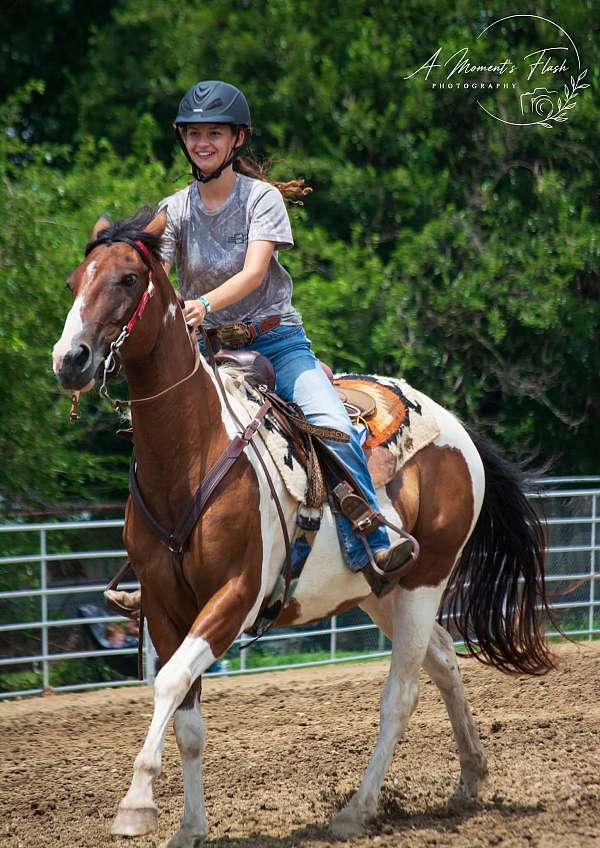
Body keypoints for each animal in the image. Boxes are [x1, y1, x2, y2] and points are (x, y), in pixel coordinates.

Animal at [52, 207, 555, 846]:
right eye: (75, 281)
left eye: (126, 279)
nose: (70, 359)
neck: (189, 453)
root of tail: (457, 427)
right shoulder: (164, 606)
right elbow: (186, 713)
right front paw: (189, 827)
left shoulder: (236, 596)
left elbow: (169, 683)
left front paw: (136, 805)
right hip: (380, 589)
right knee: (442, 658)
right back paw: (469, 780)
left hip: (426, 579)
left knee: (401, 692)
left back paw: (358, 810)